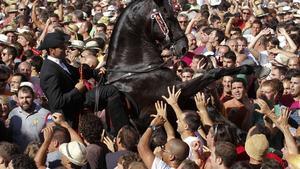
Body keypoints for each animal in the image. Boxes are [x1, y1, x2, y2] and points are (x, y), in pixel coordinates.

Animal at [105, 0, 255, 126]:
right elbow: (213, 73)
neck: (135, 69)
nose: (183, 46)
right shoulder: (176, 92)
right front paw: (247, 68)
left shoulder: (182, 98)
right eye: (168, 16)